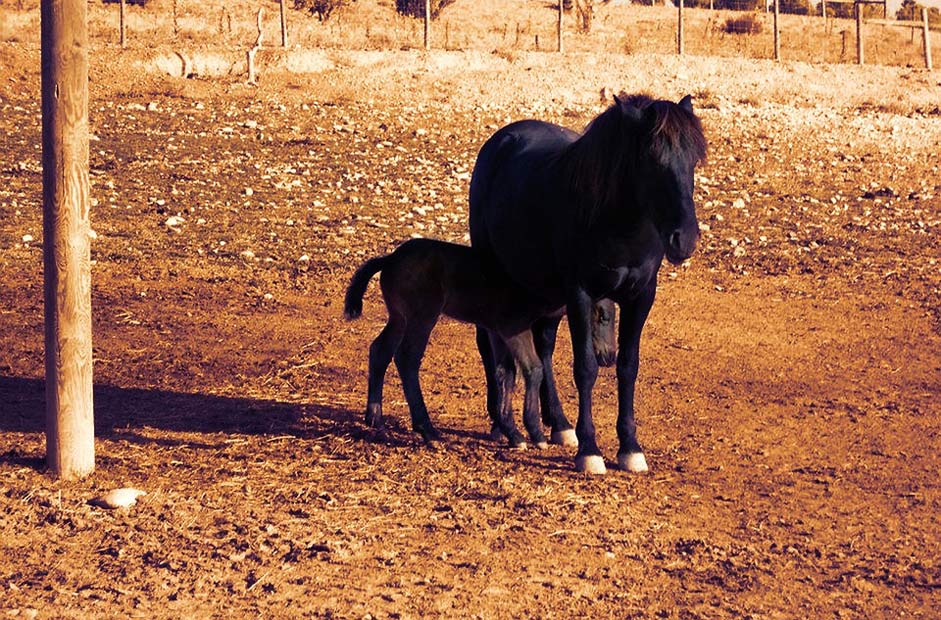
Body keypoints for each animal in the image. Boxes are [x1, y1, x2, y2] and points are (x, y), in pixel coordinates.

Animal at [346, 239, 564, 450]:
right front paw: (535, 433)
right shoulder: (513, 327)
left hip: (399, 318)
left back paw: (375, 417)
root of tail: (390, 259)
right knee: (407, 357)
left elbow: (505, 373)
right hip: (423, 316)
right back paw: (428, 431)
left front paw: (512, 432)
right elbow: (533, 369)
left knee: (380, 349)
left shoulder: (497, 331)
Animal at [468, 93, 704, 474]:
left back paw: (558, 424)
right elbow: (586, 368)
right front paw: (590, 451)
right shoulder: (580, 294)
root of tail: (501, 141)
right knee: (489, 339)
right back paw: (501, 424)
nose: (684, 239)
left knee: (543, 347)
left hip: (543, 291)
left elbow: (627, 367)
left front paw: (630, 448)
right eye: (651, 160)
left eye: (694, 159)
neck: (619, 225)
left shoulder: (641, 297)